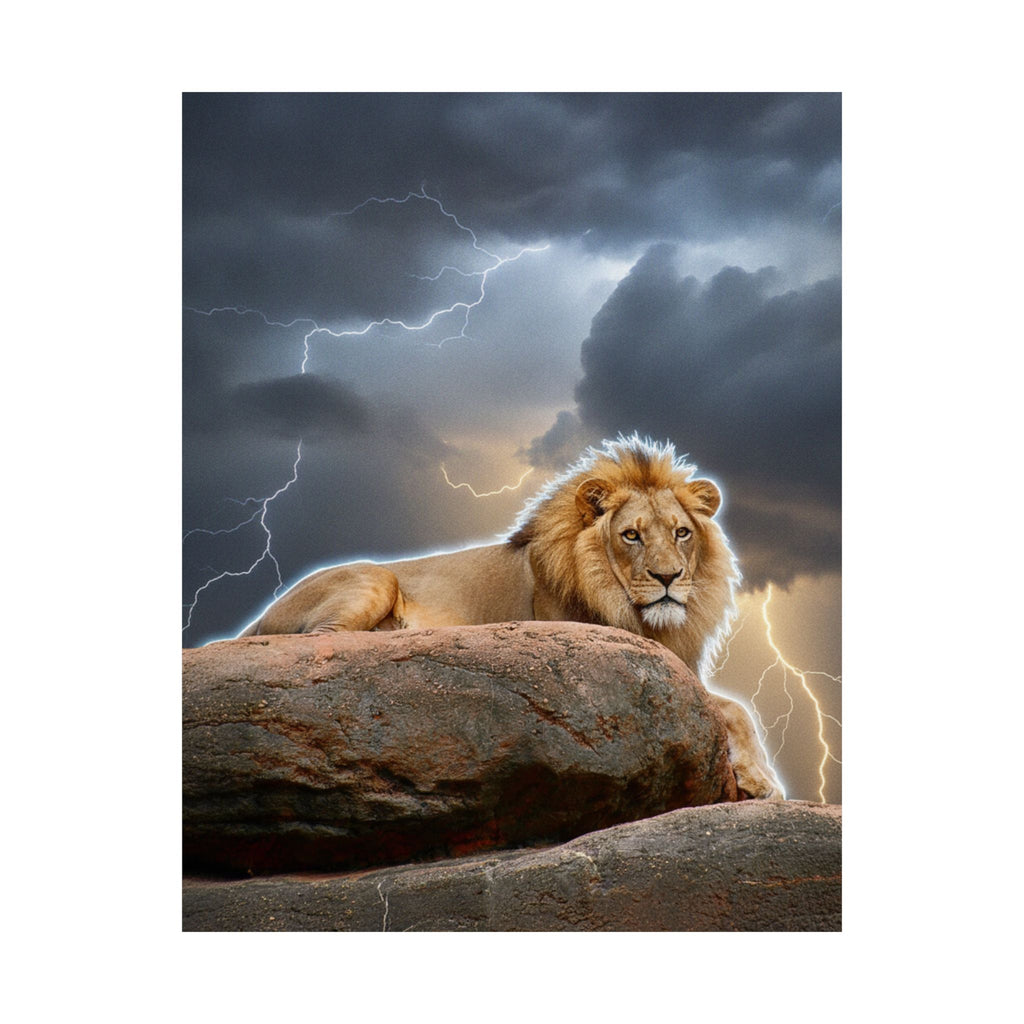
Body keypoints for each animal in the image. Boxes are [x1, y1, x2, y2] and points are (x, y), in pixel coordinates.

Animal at [240, 435, 784, 799]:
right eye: (631, 535)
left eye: (681, 533)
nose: (668, 577)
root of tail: (260, 614)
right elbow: (731, 707)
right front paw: (763, 782)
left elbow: (739, 708)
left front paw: (761, 779)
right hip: (375, 580)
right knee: (324, 641)